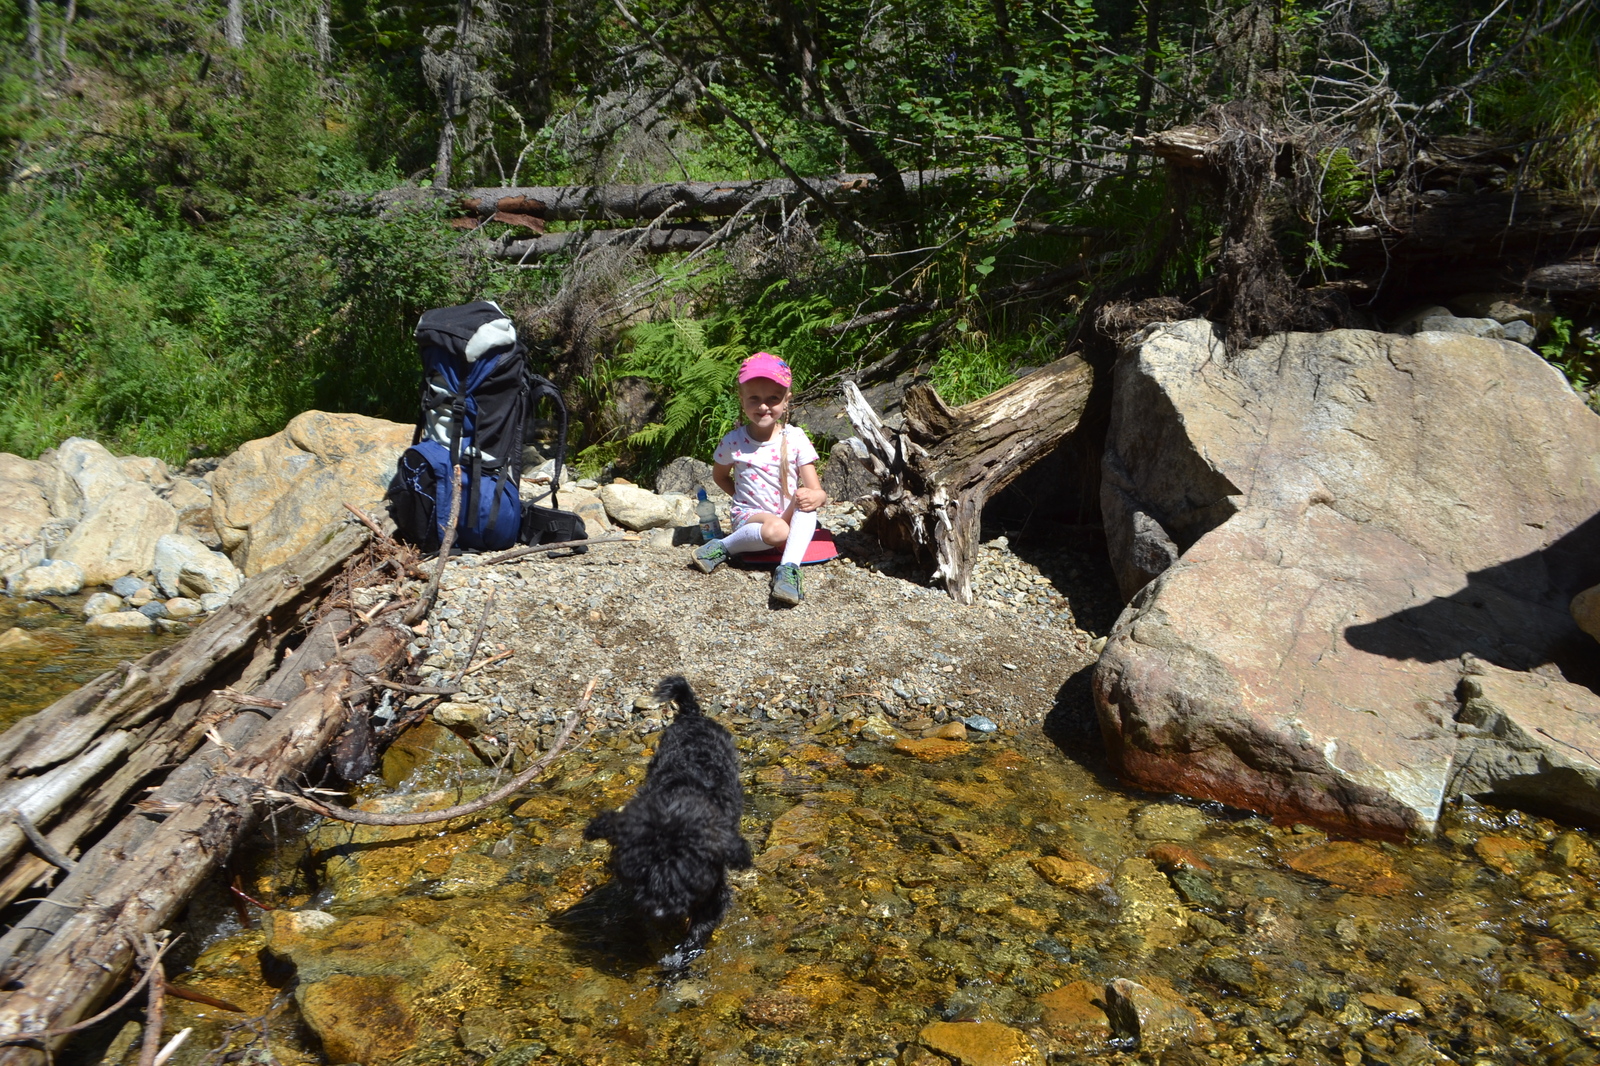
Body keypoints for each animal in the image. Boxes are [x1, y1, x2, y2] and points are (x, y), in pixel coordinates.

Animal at [582, 675, 748, 966]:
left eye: (686, 875)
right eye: (640, 874)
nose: (659, 911)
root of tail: (691, 715)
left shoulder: (713, 888)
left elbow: (702, 925)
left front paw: (683, 956)